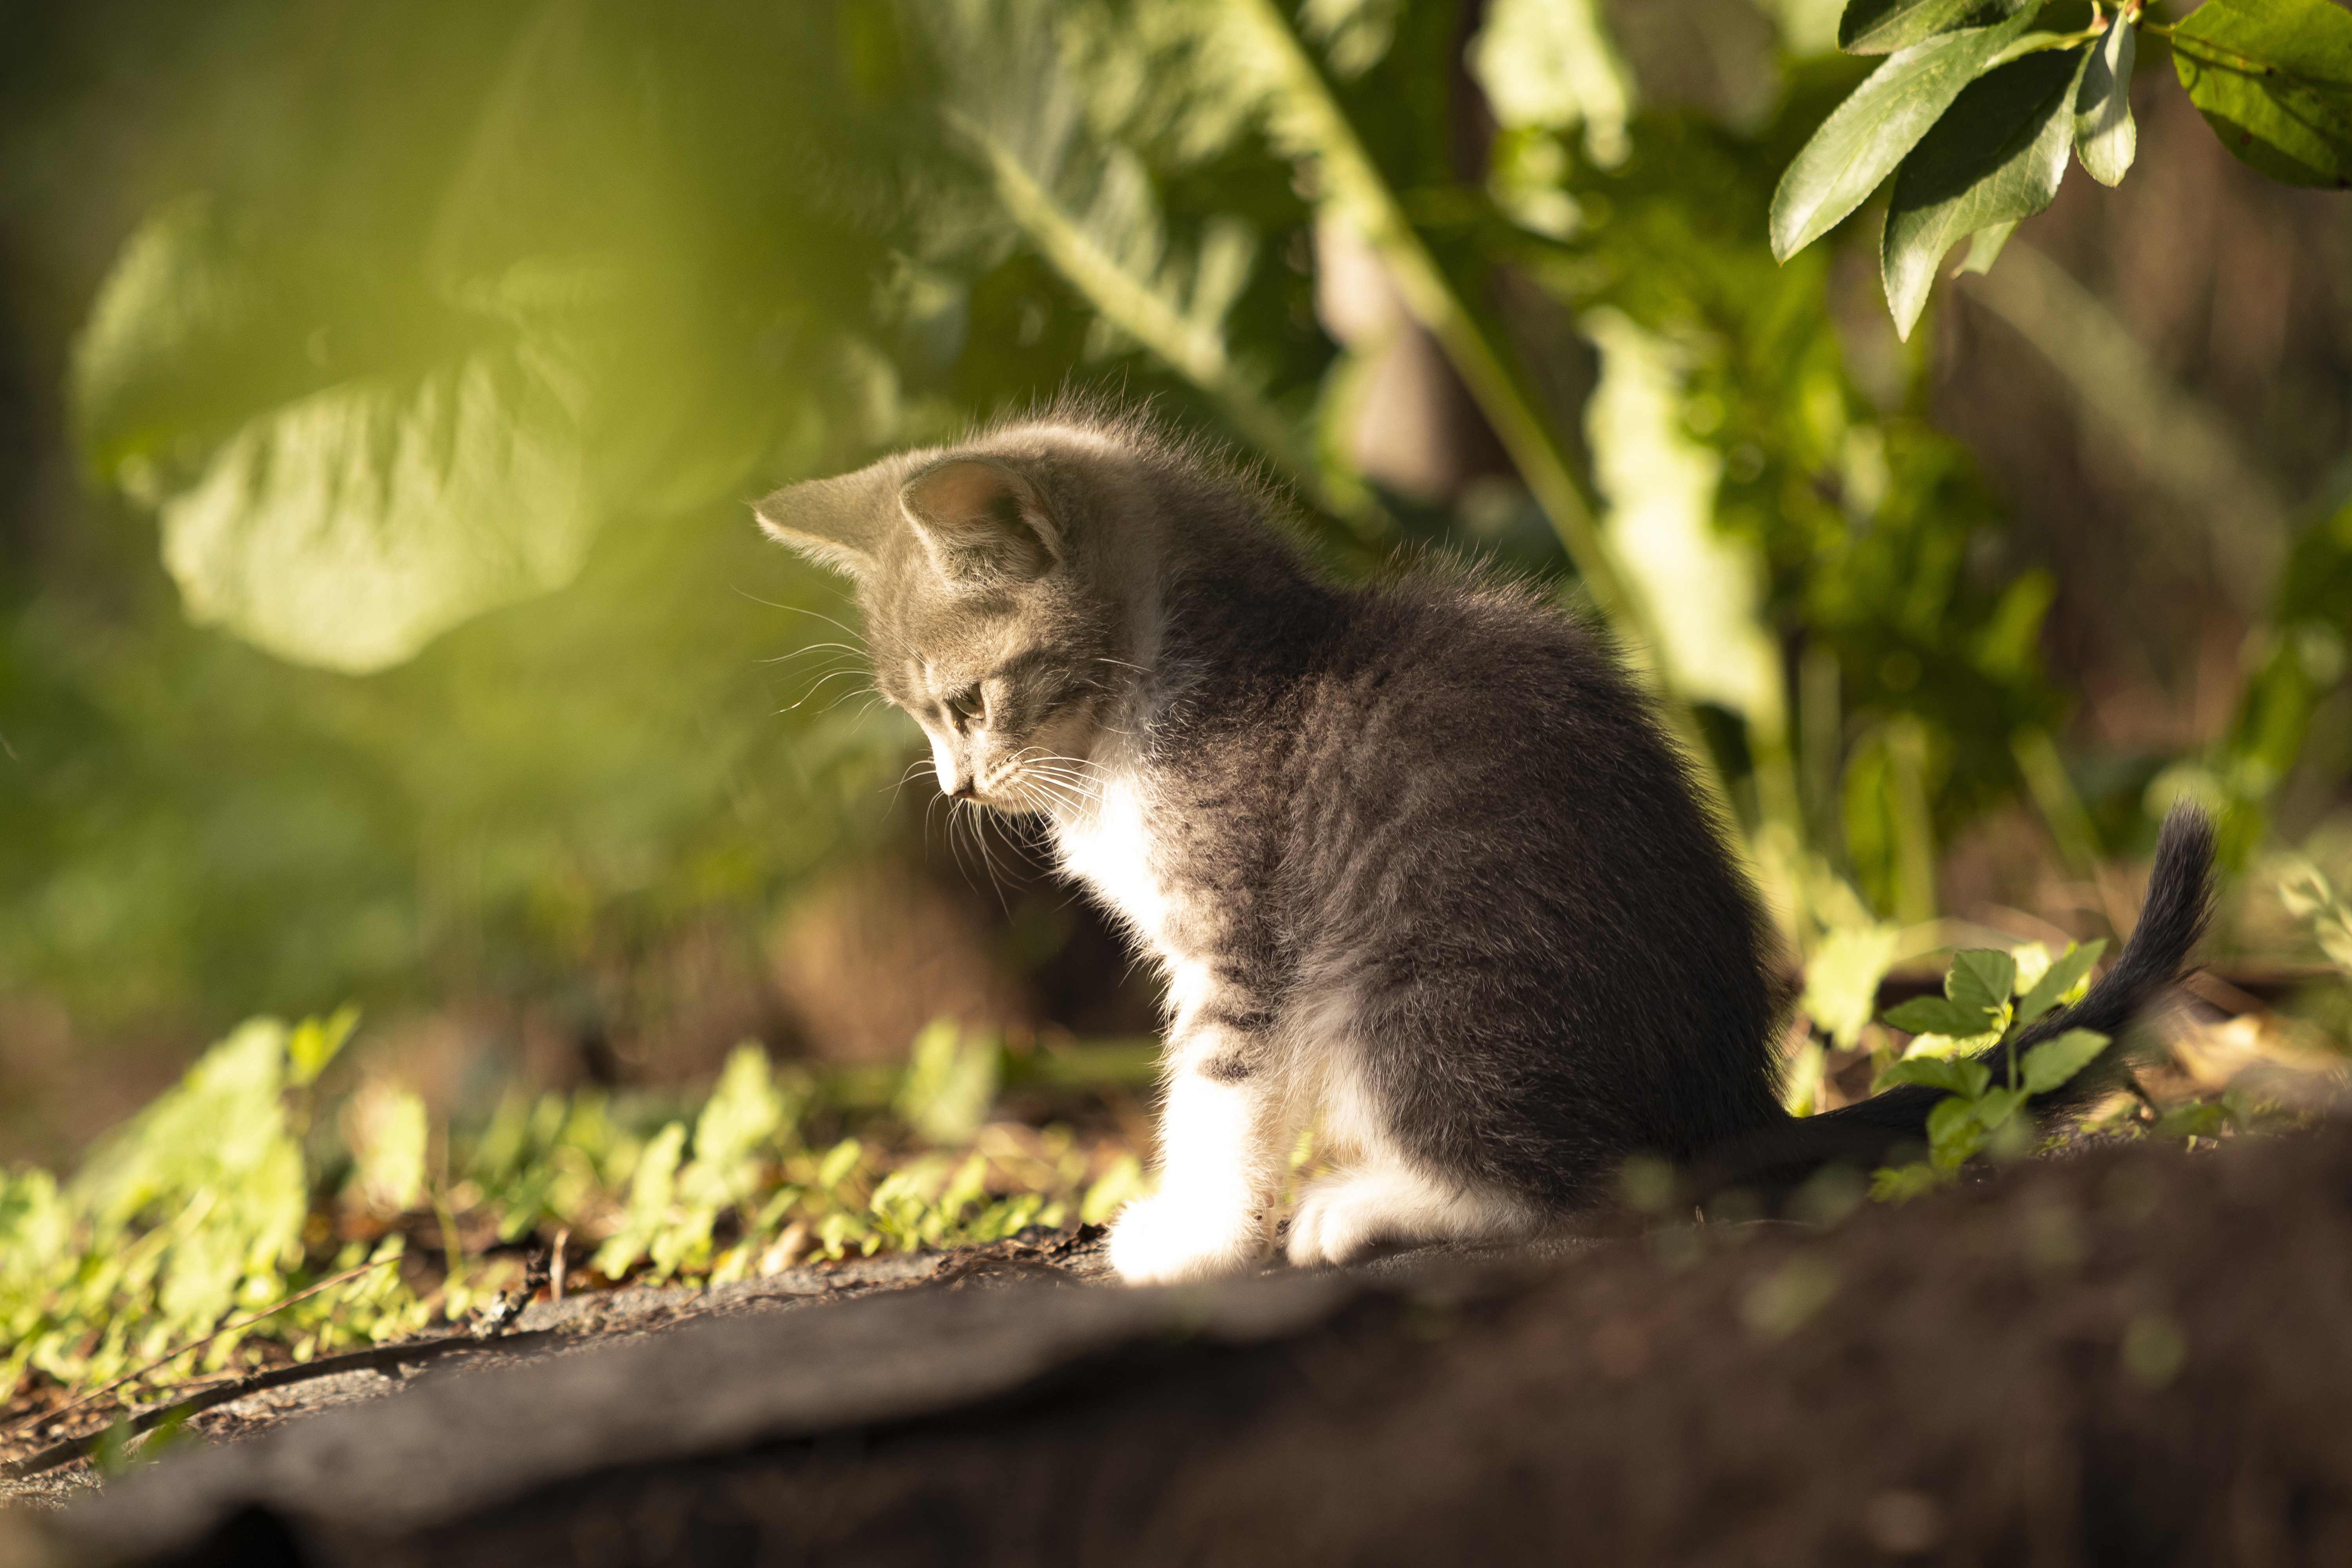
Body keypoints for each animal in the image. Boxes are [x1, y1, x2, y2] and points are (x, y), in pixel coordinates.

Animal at [762, 411, 2211, 1279]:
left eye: (968, 703)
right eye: (920, 717)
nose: (956, 782)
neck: (1165, 691)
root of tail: (1730, 1102)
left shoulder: (1242, 933)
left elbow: (1218, 1090)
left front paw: (1197, 1237)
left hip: (1417, 987)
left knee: (1582, 1186)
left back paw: (1375, 1204)